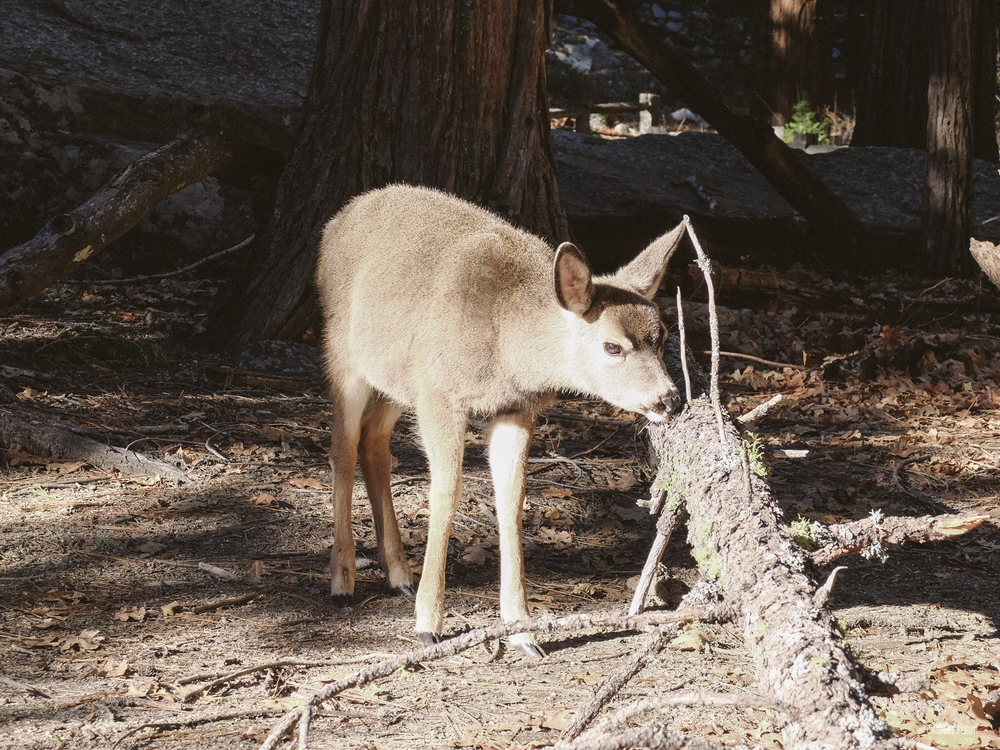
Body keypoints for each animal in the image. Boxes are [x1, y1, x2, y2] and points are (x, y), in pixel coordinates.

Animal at [316, 187, 684, 656]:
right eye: (612, 346)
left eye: (664, 337)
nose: (669, 400)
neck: (507, 347)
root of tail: (340, 217)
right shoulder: (440, 392)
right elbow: (446, 491)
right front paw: (428, 623)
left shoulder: (515, 409)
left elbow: (512, 499)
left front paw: (523, 630)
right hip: (344, 352)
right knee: (342, 446)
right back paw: (342, 582)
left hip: (396, 380)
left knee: (374, 440)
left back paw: (398, 574)